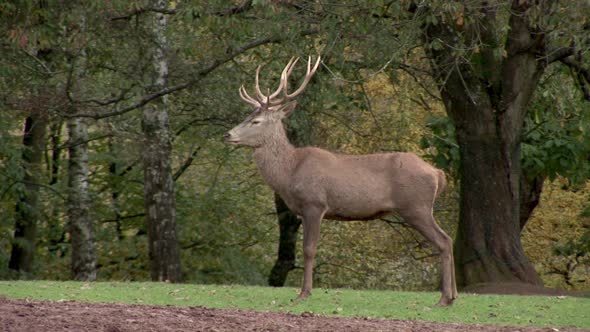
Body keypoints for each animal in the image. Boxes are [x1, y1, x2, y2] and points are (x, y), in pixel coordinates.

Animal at [224, 55, 460, 306]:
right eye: (247, 116)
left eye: (256, 121)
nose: (228, 135)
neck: (289, 173)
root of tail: (438, 174)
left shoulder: (314, 203)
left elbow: (309, 249)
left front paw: (304, 293)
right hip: (419, 207)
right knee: (448, 239)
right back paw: (453, 296)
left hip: (416, 206)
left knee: (443, 240)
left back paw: (444, 298)